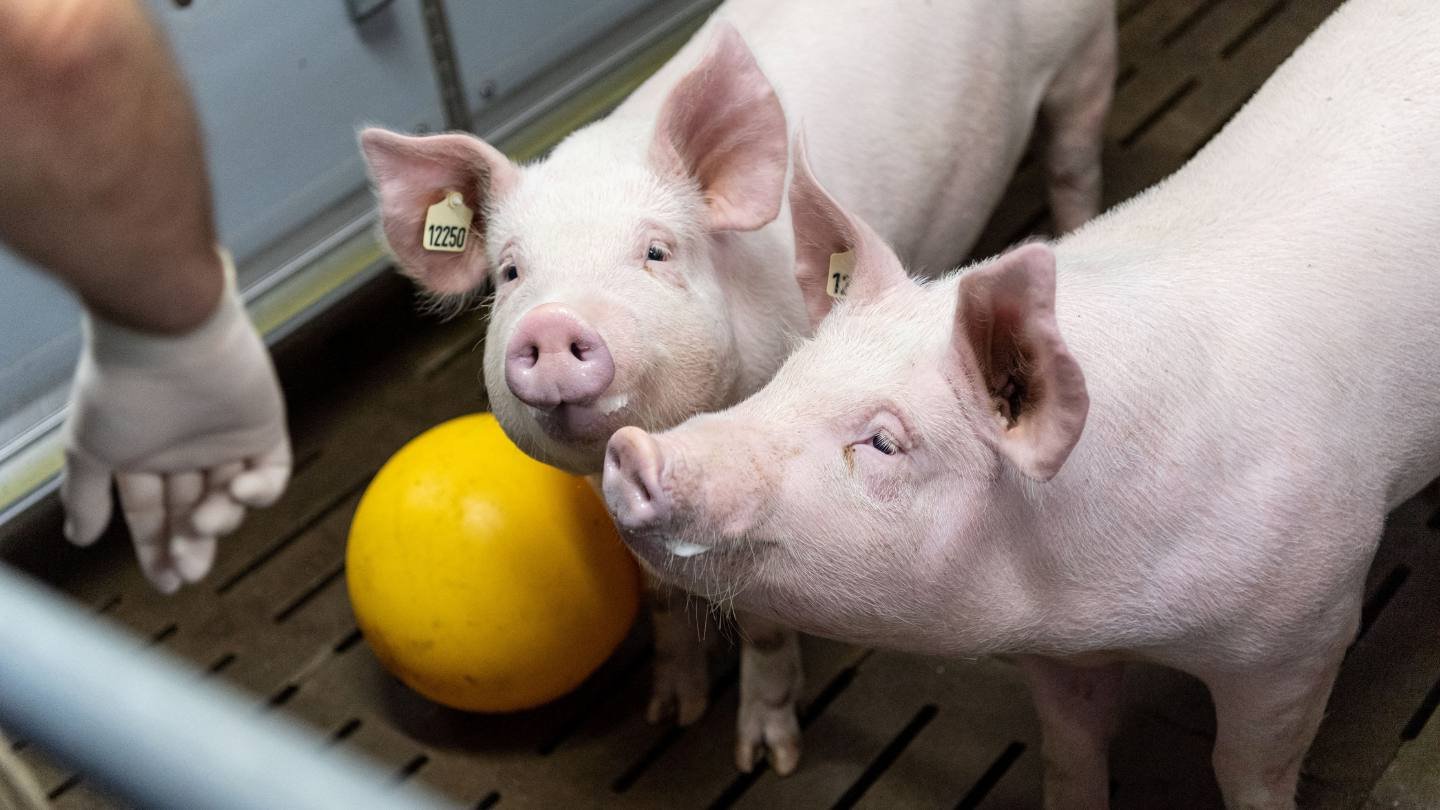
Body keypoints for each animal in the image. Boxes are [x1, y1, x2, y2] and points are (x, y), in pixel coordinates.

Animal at [360, 0, 1116, 775]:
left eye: (657, 251)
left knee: (1073, 159)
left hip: (1083, 56)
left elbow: (762, 621)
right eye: (511, 272)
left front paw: (765, 758)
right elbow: (660, 595)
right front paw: (672, 714)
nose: (551, 322)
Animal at [602, 0, 1440, 805]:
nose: (634, 448)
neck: (1097, 596)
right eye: (791, 374)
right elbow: (1072, 747)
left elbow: (1249, 768)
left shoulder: (1308, 625)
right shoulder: (1056, 649)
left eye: (884, 442)